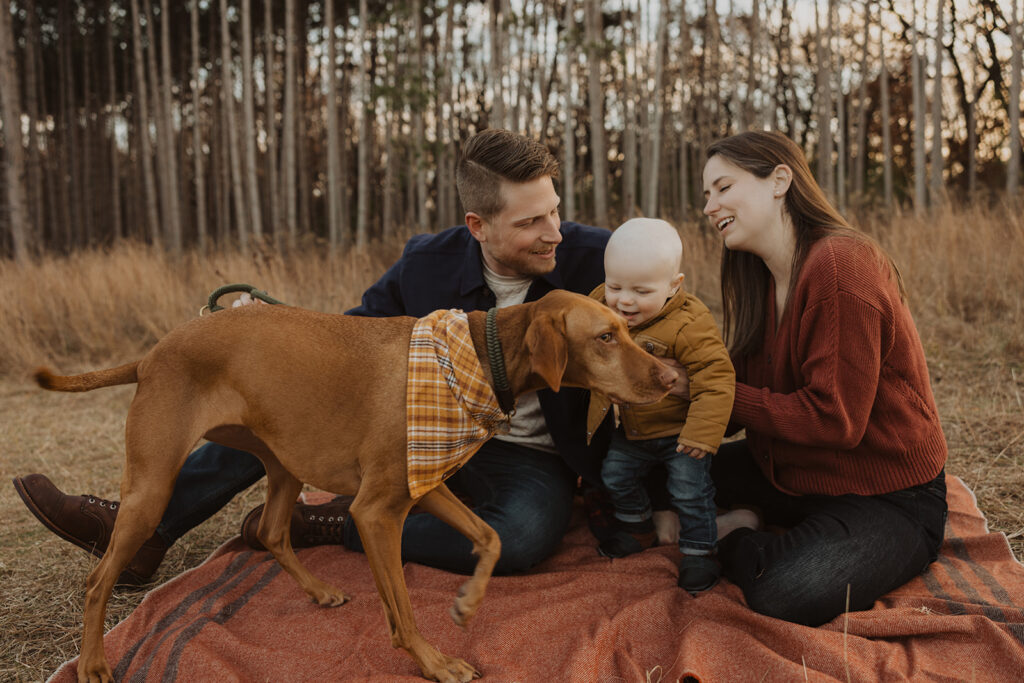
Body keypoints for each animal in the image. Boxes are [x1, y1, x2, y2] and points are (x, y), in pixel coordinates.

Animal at [37, 290, 679, 683]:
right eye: (606, 337)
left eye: (626, 330)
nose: (673, 377)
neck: (477, 355)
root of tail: (152, 354)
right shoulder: (376, 512)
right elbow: (403, 605)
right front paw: (432, 661)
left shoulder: (421, 486)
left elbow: (491, 538)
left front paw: (469, 604)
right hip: (152, 486)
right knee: (98, 579)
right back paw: (93, 662)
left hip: (284, 464)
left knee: (272, 532)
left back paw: (318, 590)